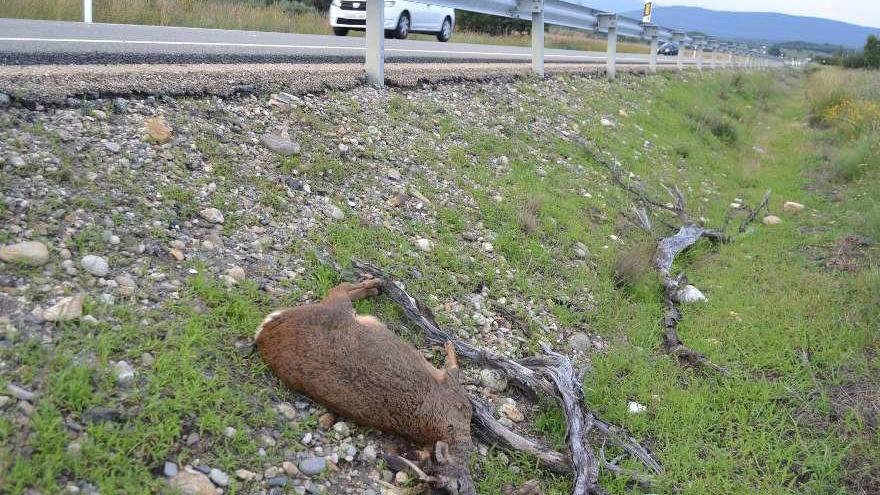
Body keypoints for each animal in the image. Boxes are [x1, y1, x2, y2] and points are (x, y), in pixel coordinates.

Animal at [256, 280, 474, 494]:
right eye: (456, 485)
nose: (469, 488)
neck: (448, 431)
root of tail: (266, 329)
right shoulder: (454, 388)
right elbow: (453, 365)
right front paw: (448, 343)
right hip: (337, 310)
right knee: (339, 289)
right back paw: (374, 283)